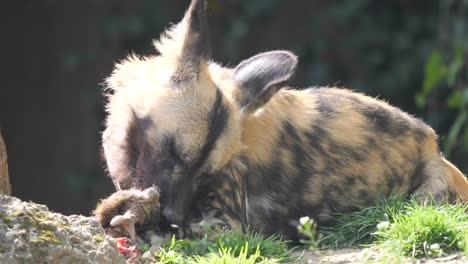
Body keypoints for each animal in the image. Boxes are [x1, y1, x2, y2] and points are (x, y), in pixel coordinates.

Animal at [98, 0, 468, 239]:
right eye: (173, 153)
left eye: (205, 173)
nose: (170, 216)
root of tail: (432, 145)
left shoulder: (224, 227)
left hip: (425, 203)